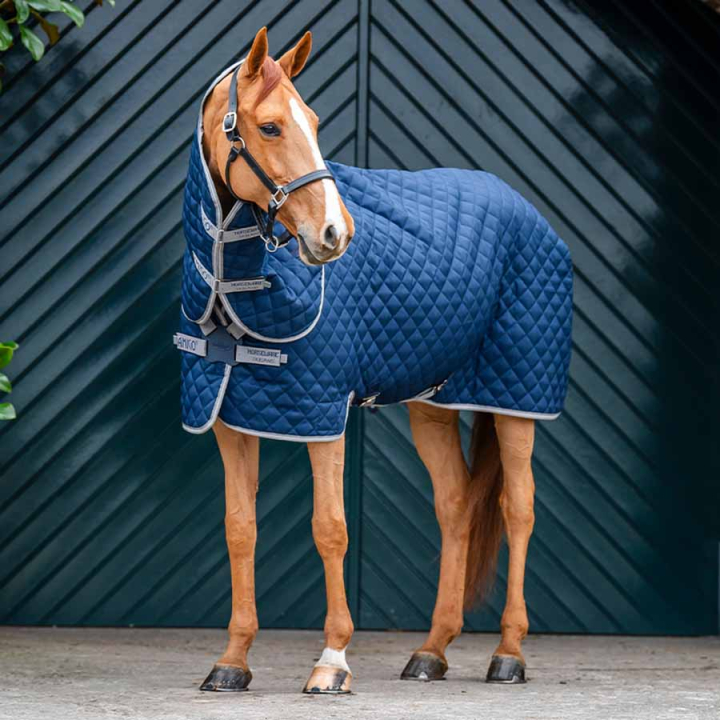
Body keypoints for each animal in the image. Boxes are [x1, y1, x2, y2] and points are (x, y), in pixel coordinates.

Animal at [175, 27, 573, 694]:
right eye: (270, 127)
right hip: (433, 405)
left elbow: (330, 528)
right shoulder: (231, 417)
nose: (336, 234)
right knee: (456, 507)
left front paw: (331, 660)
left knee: (518, 508)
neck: (237, 283)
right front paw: (231, 662)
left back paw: (509, 654)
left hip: (516, 400)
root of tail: (529, 213)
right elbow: (239, 529)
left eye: (311, 121)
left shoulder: (321, 413)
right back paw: (431, 652)